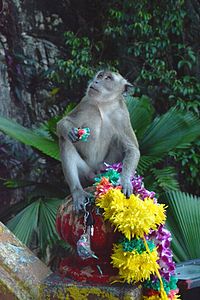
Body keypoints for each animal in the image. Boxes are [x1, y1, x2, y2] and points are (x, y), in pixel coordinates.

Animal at [57, 69, 140, 213]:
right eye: (100, 76)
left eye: (108, 78)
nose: (95, 81)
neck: (103, 105)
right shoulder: (85, 103)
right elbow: (62, 123)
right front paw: (69, 131)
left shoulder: (122, 115)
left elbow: (132, 149)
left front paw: (125, 181)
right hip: (87, 174)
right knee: (65, 142)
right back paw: (77, 192)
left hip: (104, 169)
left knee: (118, 143)